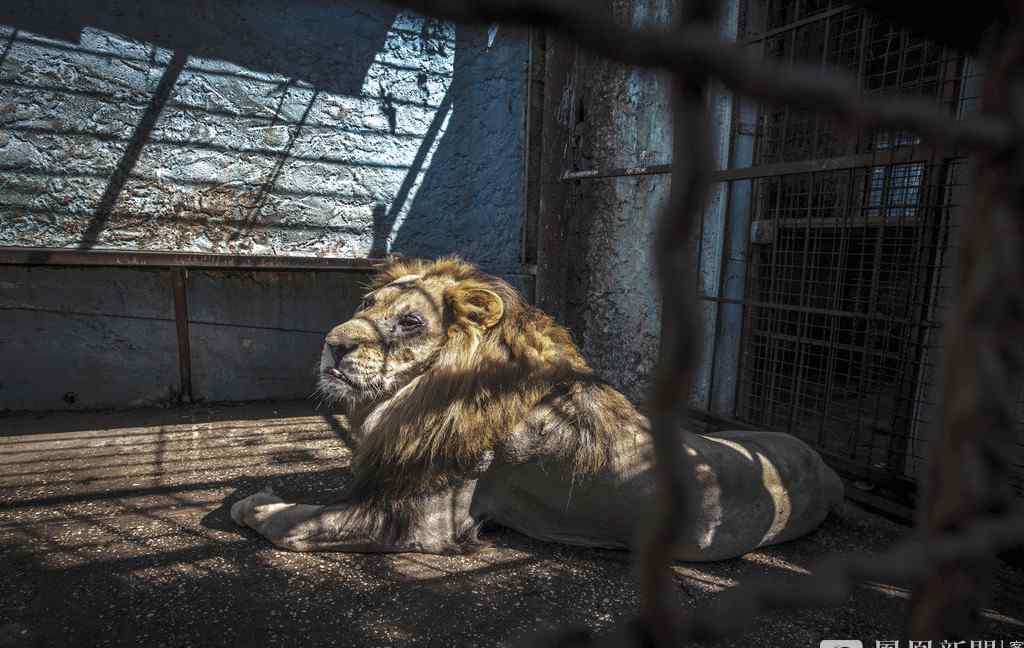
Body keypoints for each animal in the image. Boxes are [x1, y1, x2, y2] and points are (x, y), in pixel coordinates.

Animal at [230, 254, 839, 556]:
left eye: (410, 321)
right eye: (365, 304)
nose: (333, 344)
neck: (417, 393)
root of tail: (828, 467)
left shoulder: (426, 523)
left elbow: (296, 523)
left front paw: (254, 502)